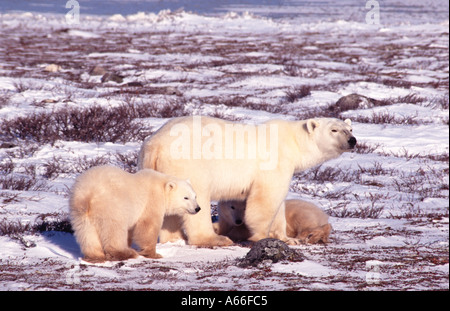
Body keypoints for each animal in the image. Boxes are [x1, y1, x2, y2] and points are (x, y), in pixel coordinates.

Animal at [69, 166, 200, 264]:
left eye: (195, 196)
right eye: (186, 197)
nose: (197, 208)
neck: (161, 184)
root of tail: (88, 195)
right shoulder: (152, 199)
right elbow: (148, 226)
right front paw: (154, 254)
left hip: (79, 213)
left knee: (87, 233)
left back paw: (95, 256)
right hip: (112, 206)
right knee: (114, 230)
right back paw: (126, 253)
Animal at [137, 116, 356, 247]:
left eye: (350, 128)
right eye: (334, 130)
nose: (353, 140)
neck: (293, 142)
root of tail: (155, 145)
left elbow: (279, 206)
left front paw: (288, 239)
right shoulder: (273, 163)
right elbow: (266, 198)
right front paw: (261, 235)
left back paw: (174, 238)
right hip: (189, 164)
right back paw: (216, 238)